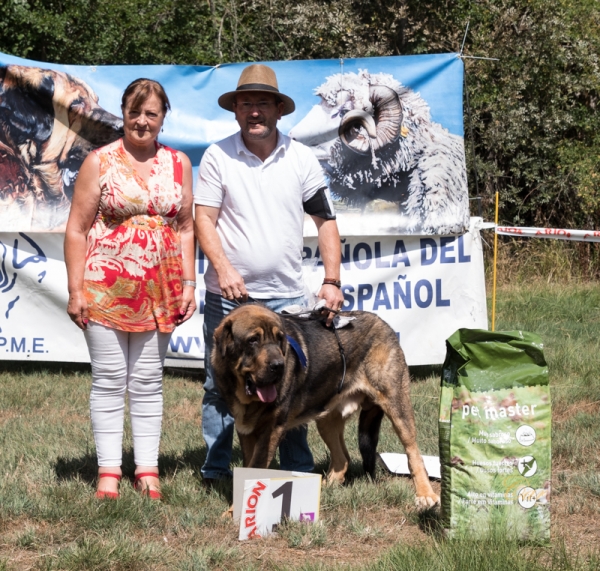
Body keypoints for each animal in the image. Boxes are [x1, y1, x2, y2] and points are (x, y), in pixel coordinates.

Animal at [213, 304, 438, 510]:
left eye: (279, 339)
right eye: (252, 340)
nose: (279, 366)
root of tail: (383, 323)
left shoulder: (270, 431)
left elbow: (254, 469)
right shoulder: (246, 430)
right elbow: (247, 470)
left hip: (396, 405)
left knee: (413, 453)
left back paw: (425, 494)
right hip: (326, 419)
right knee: (342, 458)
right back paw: (325, 489)